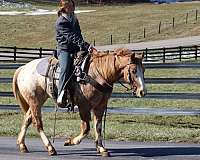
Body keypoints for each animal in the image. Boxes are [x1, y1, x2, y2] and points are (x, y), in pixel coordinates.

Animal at [12, 47, 145, 156]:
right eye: (134, 71)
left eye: (143, 70)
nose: (142, 91)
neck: (97, 74)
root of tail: (23, 68)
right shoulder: (84, 106)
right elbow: (86, 129)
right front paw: (70, 141)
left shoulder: (100, 106)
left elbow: (98, 127)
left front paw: (101, 148)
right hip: (35, 101)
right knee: (37, 123)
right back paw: (50, 148)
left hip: (38, 100)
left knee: (27, 119)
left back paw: (22, 145)